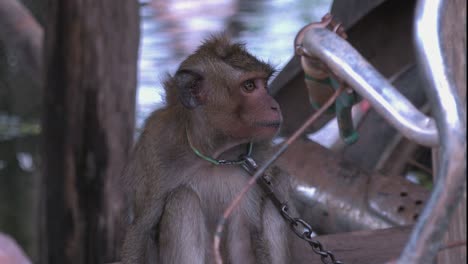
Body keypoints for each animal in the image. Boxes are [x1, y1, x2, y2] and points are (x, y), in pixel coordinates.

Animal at [120, 35, 296, 264]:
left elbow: (254, 233)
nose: (275, 106)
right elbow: (140, 230)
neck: (214, 154)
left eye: (264, 84)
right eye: (249, 86)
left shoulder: (260, 156)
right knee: (183, 198)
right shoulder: (155, 146)